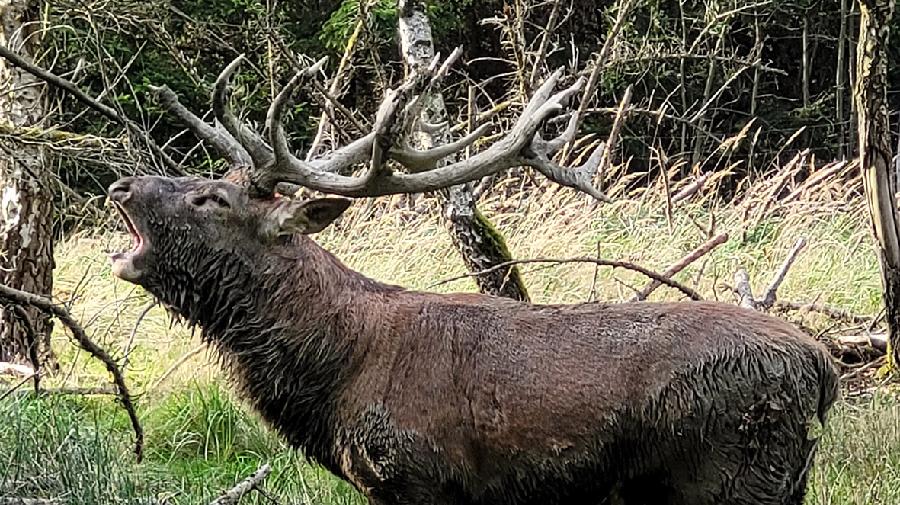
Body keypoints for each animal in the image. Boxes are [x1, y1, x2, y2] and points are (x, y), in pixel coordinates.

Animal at [106, 53, 839, 505]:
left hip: (726, 473)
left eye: (213, 198)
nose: (122, 185)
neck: (336, 372)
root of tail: (820, 366)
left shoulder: (421, 473)